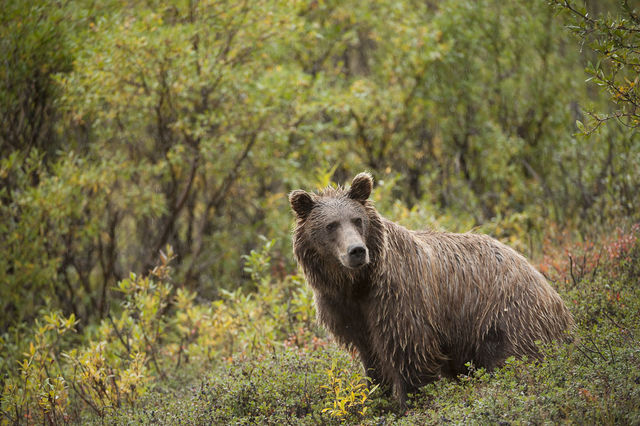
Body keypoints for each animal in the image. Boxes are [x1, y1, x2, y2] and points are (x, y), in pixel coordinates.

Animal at [289, 172, 575, 406]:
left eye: (357, 220)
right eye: (331, 225)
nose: (357, 251)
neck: (357, 283)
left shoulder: (399, 298)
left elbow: (410, 354)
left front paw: (412, 402)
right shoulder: (345, 310)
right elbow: (372, 360)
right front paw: (378, 395)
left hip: (507, 317)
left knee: (516, 360)